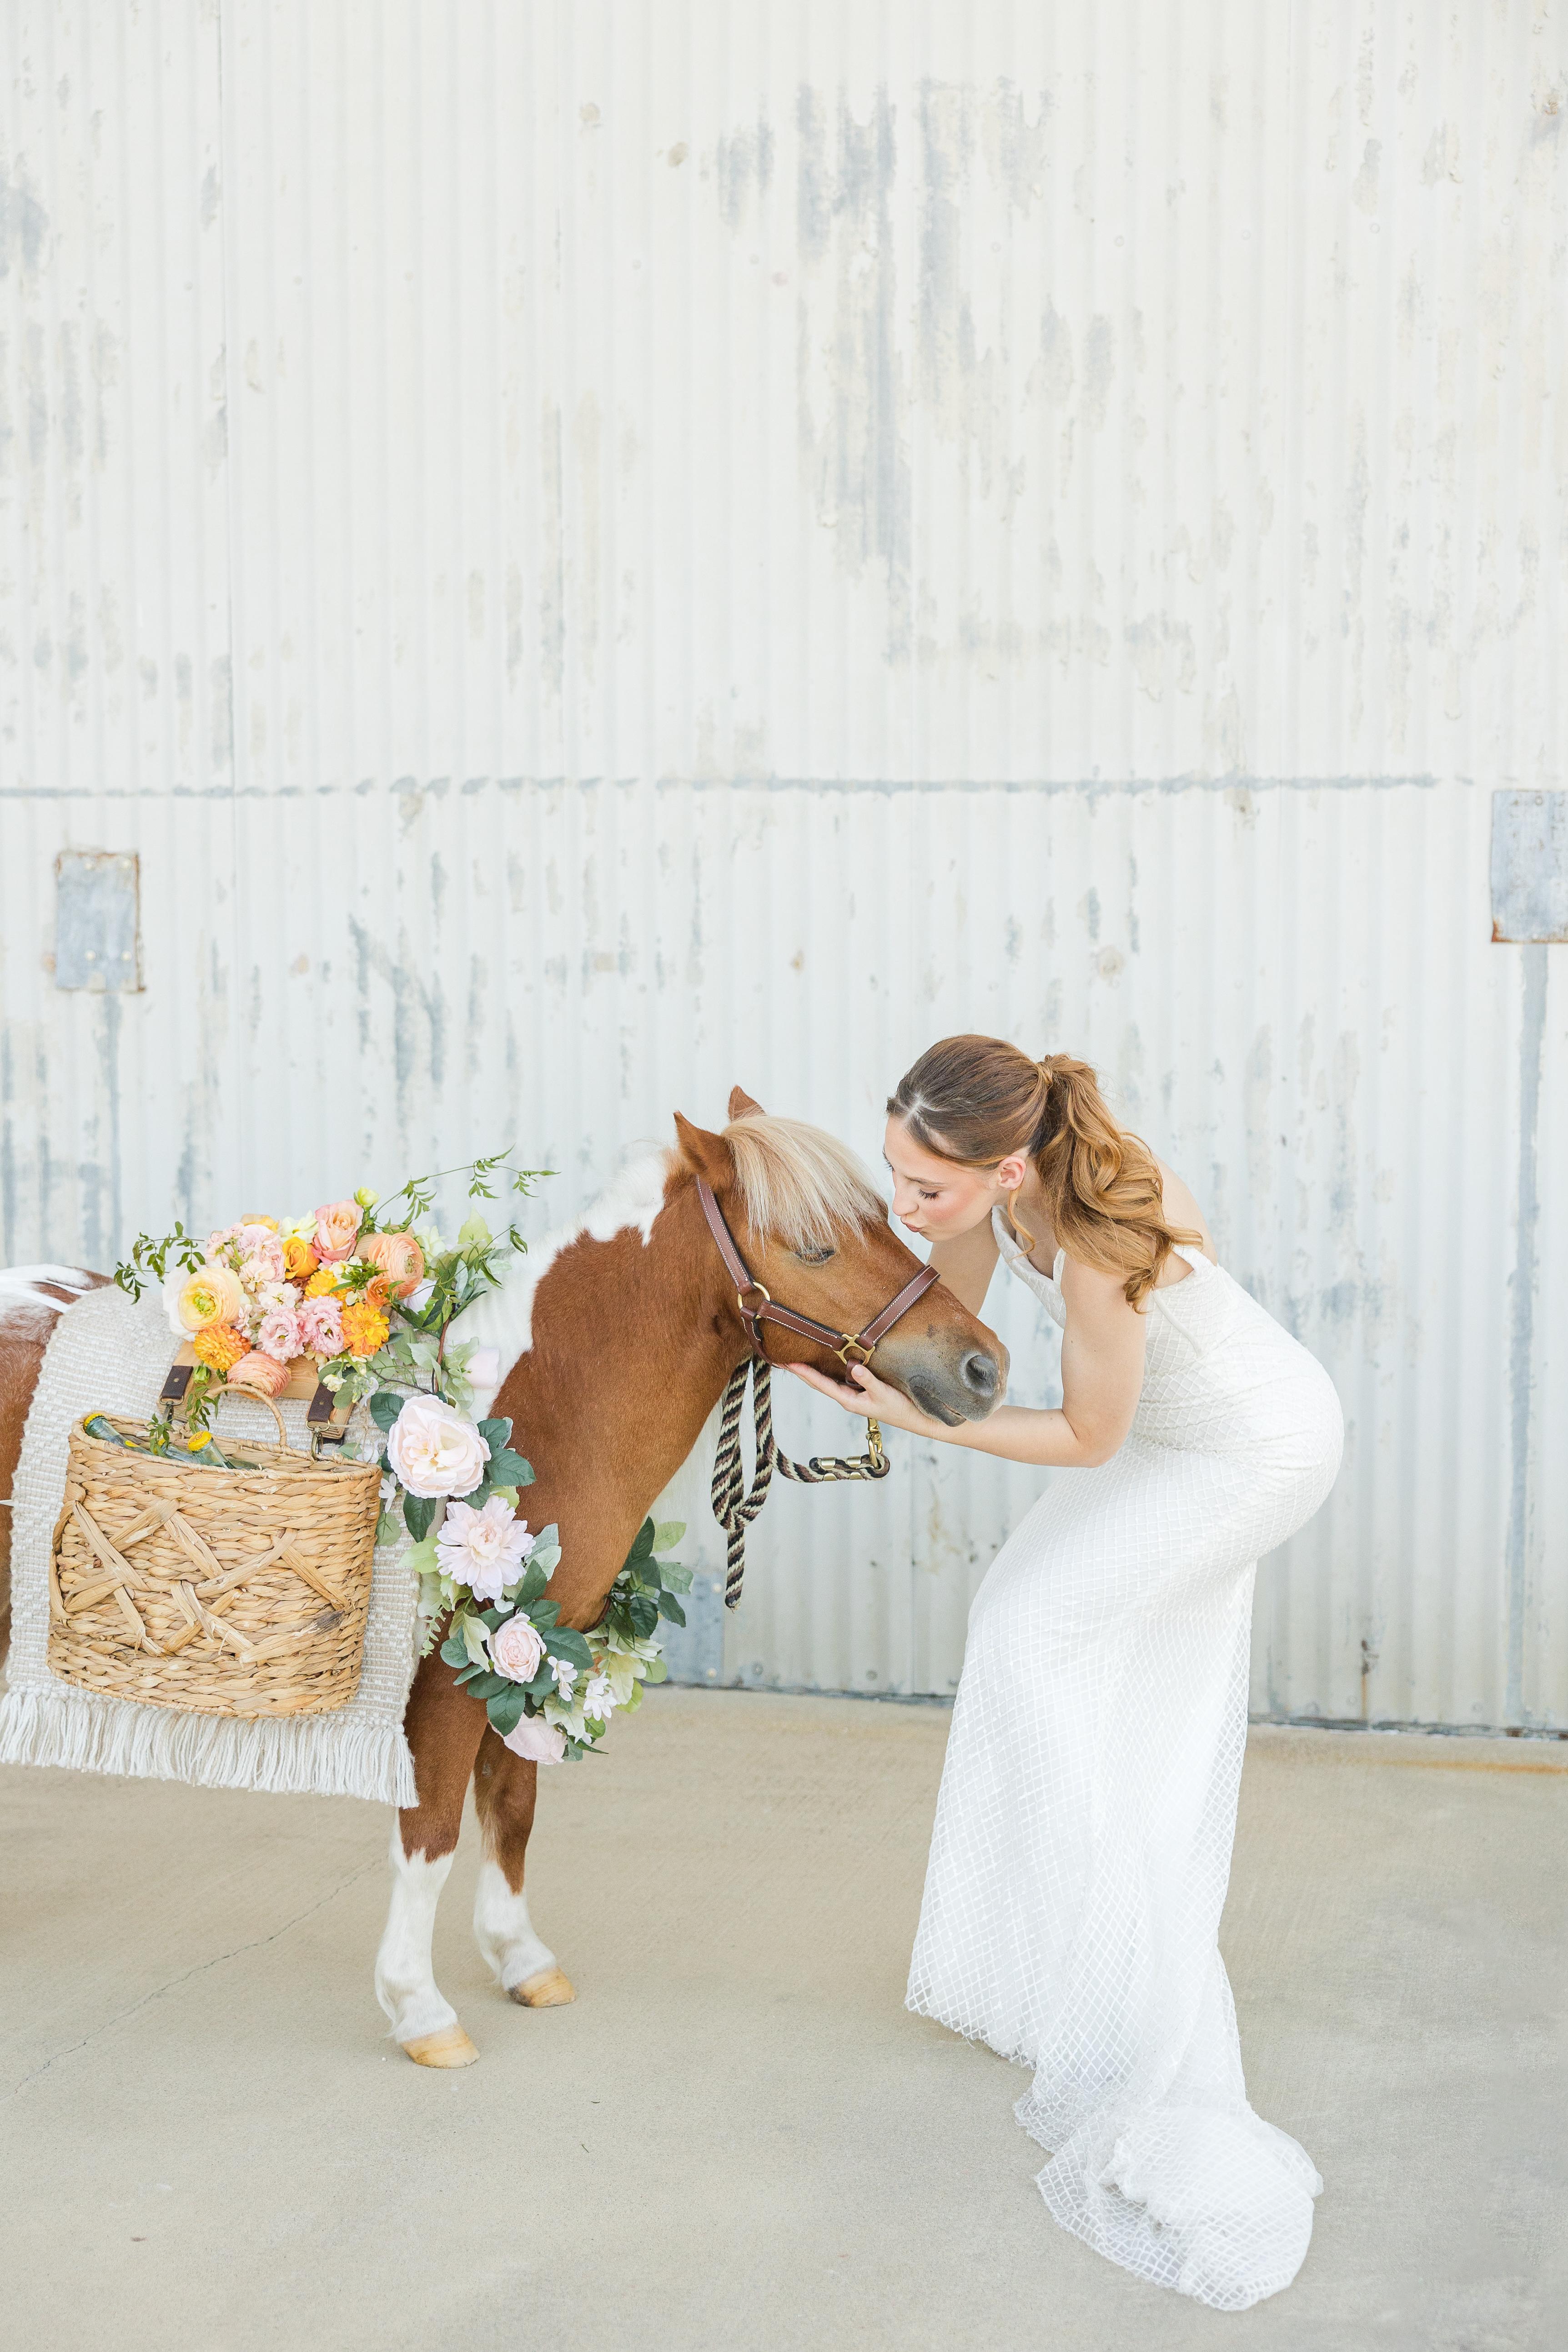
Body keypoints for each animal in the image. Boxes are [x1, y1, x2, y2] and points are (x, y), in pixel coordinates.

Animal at [0, 1093, 1007, 2066]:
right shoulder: (444, 1678)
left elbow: (513, 1810)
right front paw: (419, 2009)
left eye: (887, 1218)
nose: (982, 1365)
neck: (532, 1404)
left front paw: (520, 1960)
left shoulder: (530, 1652)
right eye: (815, 1245)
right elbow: (434, 1831)